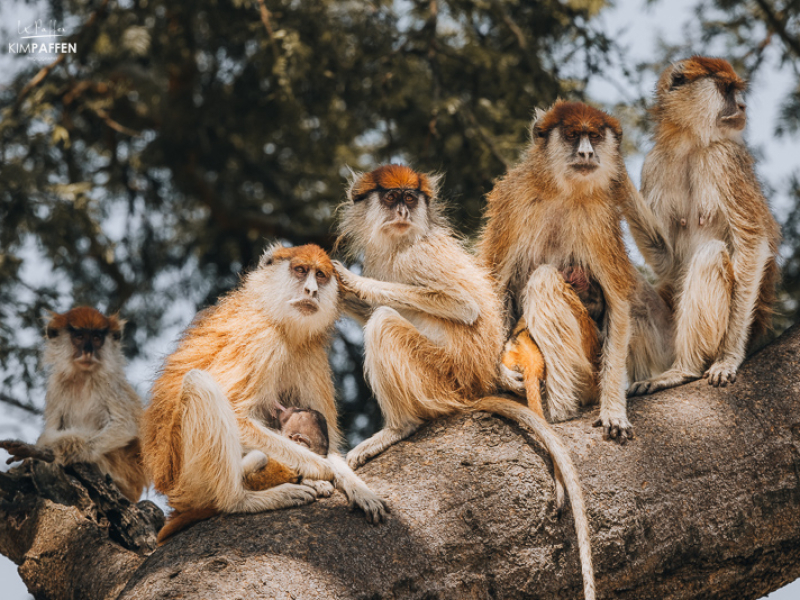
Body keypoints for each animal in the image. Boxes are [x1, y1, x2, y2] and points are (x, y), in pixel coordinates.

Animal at [2, 310, 148, 502]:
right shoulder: (57, 384)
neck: (83, 376)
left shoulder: (109, 381)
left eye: (96, 338)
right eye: (79, 337)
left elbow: (125, 427)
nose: (88, 351)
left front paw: (46, 450)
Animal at [146, 244, 390, 536]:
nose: (311, 291)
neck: (274, 315)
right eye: (300, 270)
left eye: (320, 275)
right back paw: (242, 500)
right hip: (188, 480)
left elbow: (326, 439)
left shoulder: (309, 351)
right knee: (199, 383)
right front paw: (324, 468)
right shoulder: (262, 338)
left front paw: (360, 490)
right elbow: (238, 419)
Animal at [624, 55, 780, 394]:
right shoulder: (655, 162)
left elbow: (753, 245)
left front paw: (728, 359)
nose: (742, 106)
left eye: (735, 89)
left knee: (710, 256)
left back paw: (683, 369)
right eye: (727, 90)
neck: (691, 144)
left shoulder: (725, 158)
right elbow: (668, 262)